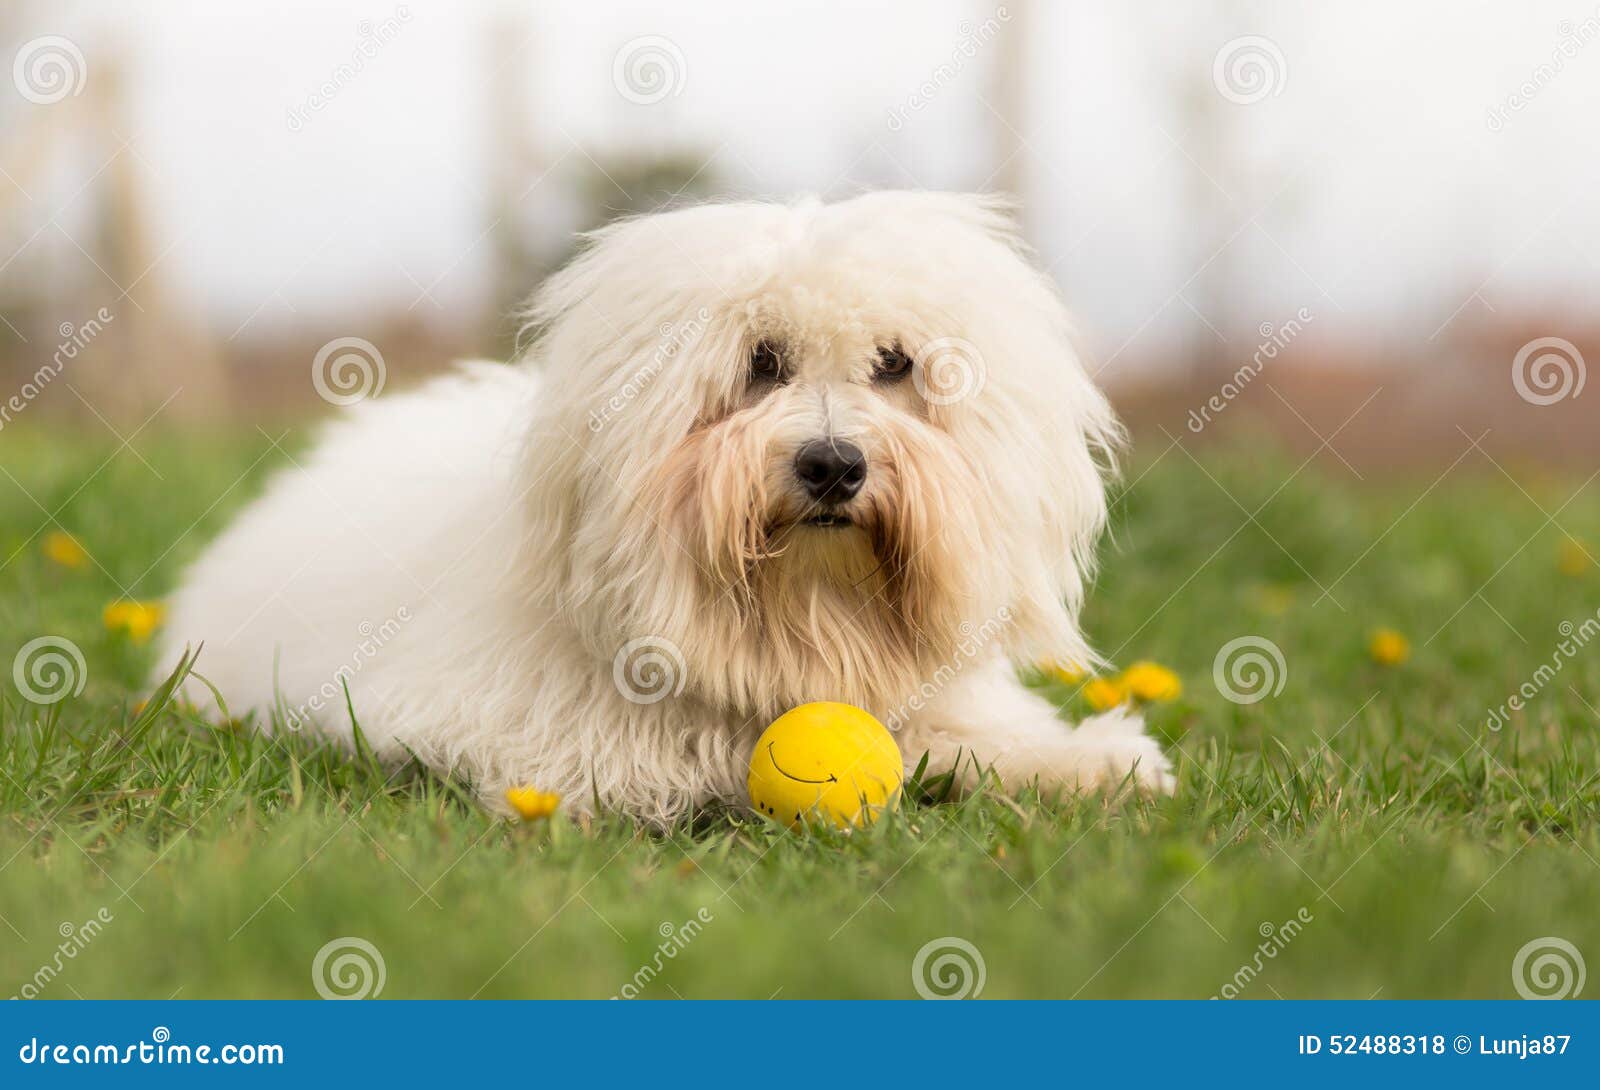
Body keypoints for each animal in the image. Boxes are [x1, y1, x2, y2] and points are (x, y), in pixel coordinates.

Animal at [159, 191, 1177, 819]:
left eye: (895, 364)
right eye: (761, 362)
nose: (833, 465)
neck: (804, 617)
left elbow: (968, 734)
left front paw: (1093, 763)